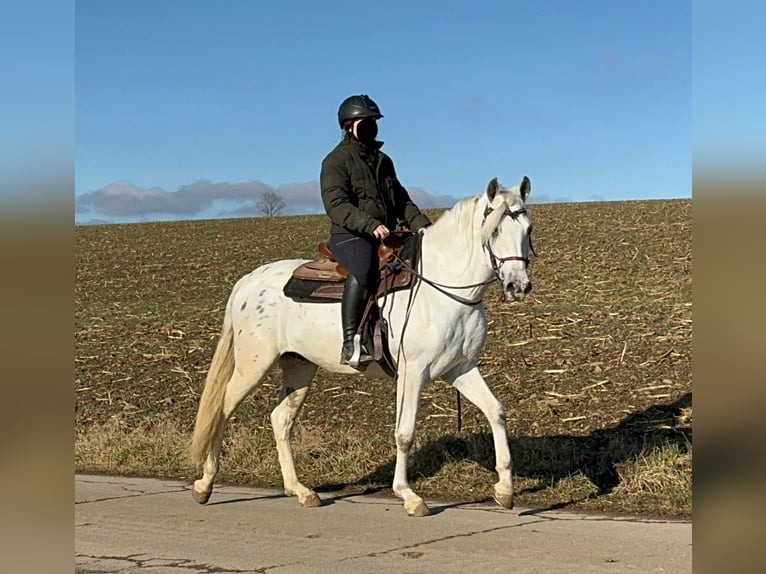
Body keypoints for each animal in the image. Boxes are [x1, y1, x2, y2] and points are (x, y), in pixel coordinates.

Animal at [190, 176, 536, 516]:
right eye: (495, 229)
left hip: (299, 366)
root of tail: (249, 280)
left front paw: (505, 490)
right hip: (254, 363)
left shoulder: (460, 369)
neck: (442, 288)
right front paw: (408, 496)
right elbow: (405, 432)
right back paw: (205, 483)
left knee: (280, 419)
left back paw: (300, 490)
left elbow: (496, 411)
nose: (518, 286)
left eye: (528, 229)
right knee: (222, 409)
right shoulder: (413, 373)